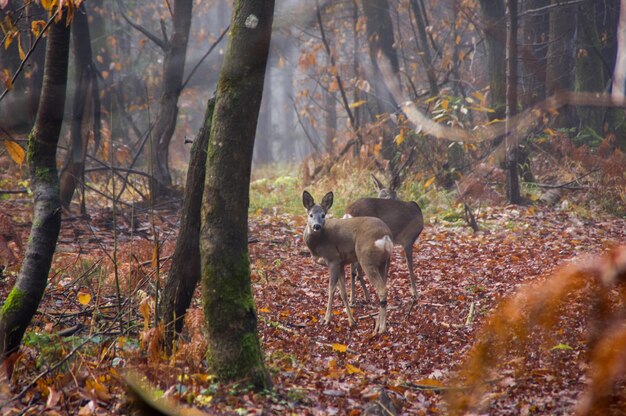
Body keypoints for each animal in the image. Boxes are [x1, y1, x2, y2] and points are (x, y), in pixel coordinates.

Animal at [302, 192, 392, 334]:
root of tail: (386, 237)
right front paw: (352, 321)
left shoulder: (333, 259)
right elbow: (343, 292)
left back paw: (381, 330)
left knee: (382, 290)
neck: (318, 245)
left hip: (366, 259)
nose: (317, 226)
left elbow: (331, 289)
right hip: (385, 262)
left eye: (323, 215)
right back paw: (378, 326)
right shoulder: (341, 263)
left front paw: (327, 319)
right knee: (384, 287)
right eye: (310, 215)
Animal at [342, 172, 424, 306]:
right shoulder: (408, 239)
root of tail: (349, 212)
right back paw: (357, 298)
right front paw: (415, 294)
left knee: (354, 268)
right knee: (356, 268)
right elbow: (409, 265)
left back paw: (358, 298)